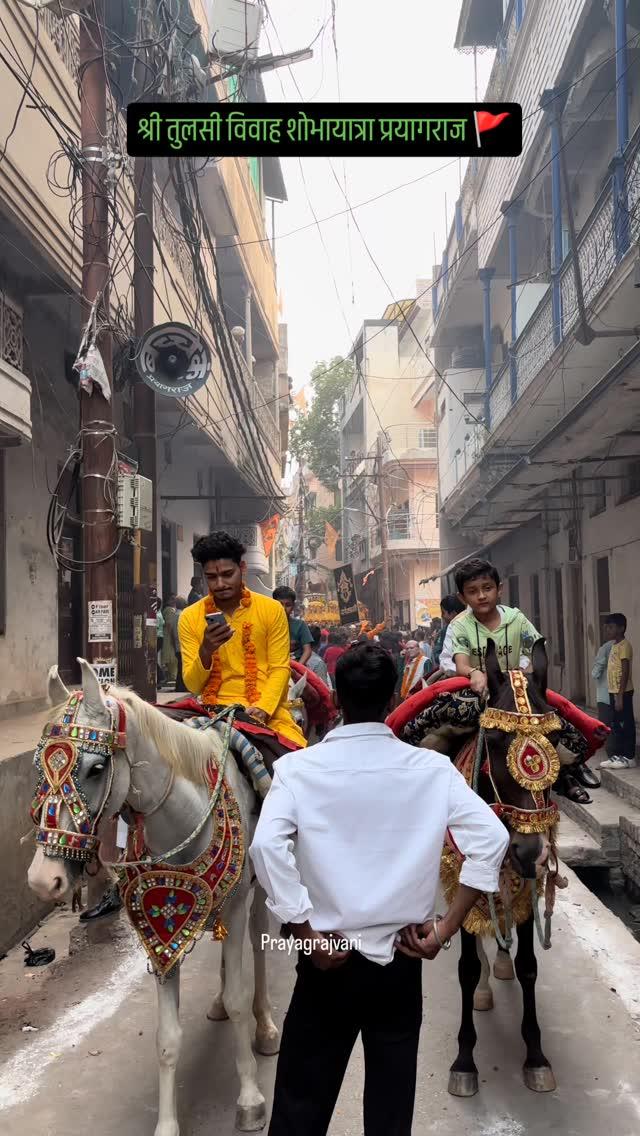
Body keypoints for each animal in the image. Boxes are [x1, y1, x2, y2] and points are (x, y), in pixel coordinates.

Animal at [25, 663, 280, 1136]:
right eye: (39, 766)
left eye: (97, 767)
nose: (43, 880)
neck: (185, 818)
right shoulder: (161, 929)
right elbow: (166, 1037)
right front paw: (167, 1124)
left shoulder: (235, 906)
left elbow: (240, 999)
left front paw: (251, 1098)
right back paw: (217, 1003)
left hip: (256, 890)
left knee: (256, 944)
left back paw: (267, 1026)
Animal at [447, 636, 563, 1095]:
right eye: (494, 741)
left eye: (555, 739)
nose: (530, 850)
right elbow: (464, 968)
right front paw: (464, 1061)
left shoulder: (527, 885)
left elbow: (529, 967)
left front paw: (537, 1057)